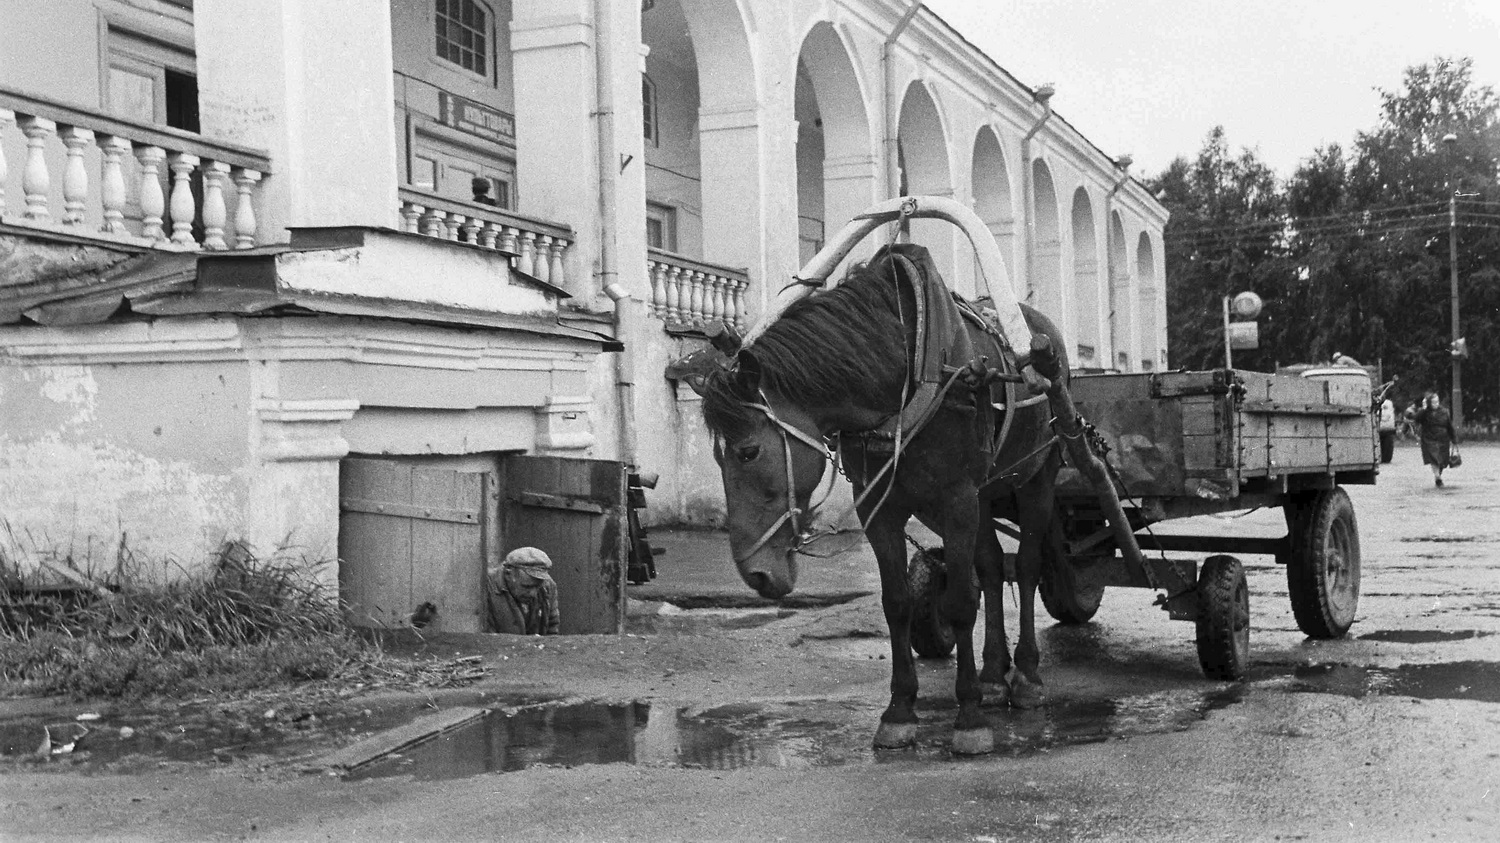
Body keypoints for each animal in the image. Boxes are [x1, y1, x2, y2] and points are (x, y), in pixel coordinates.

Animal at [696, 243, 1074, 756]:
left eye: (748, 452)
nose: (756, 574)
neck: (909, 371)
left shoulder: (957, 501)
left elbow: (960, 602)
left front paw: (969, 718)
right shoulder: (881, 507)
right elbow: (896, 602)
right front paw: (900, 711)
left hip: (1035, 479)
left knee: (1029, 567)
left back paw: (1027, 675)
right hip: (987, 493)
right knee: (994, 569)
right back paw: (995, 675)